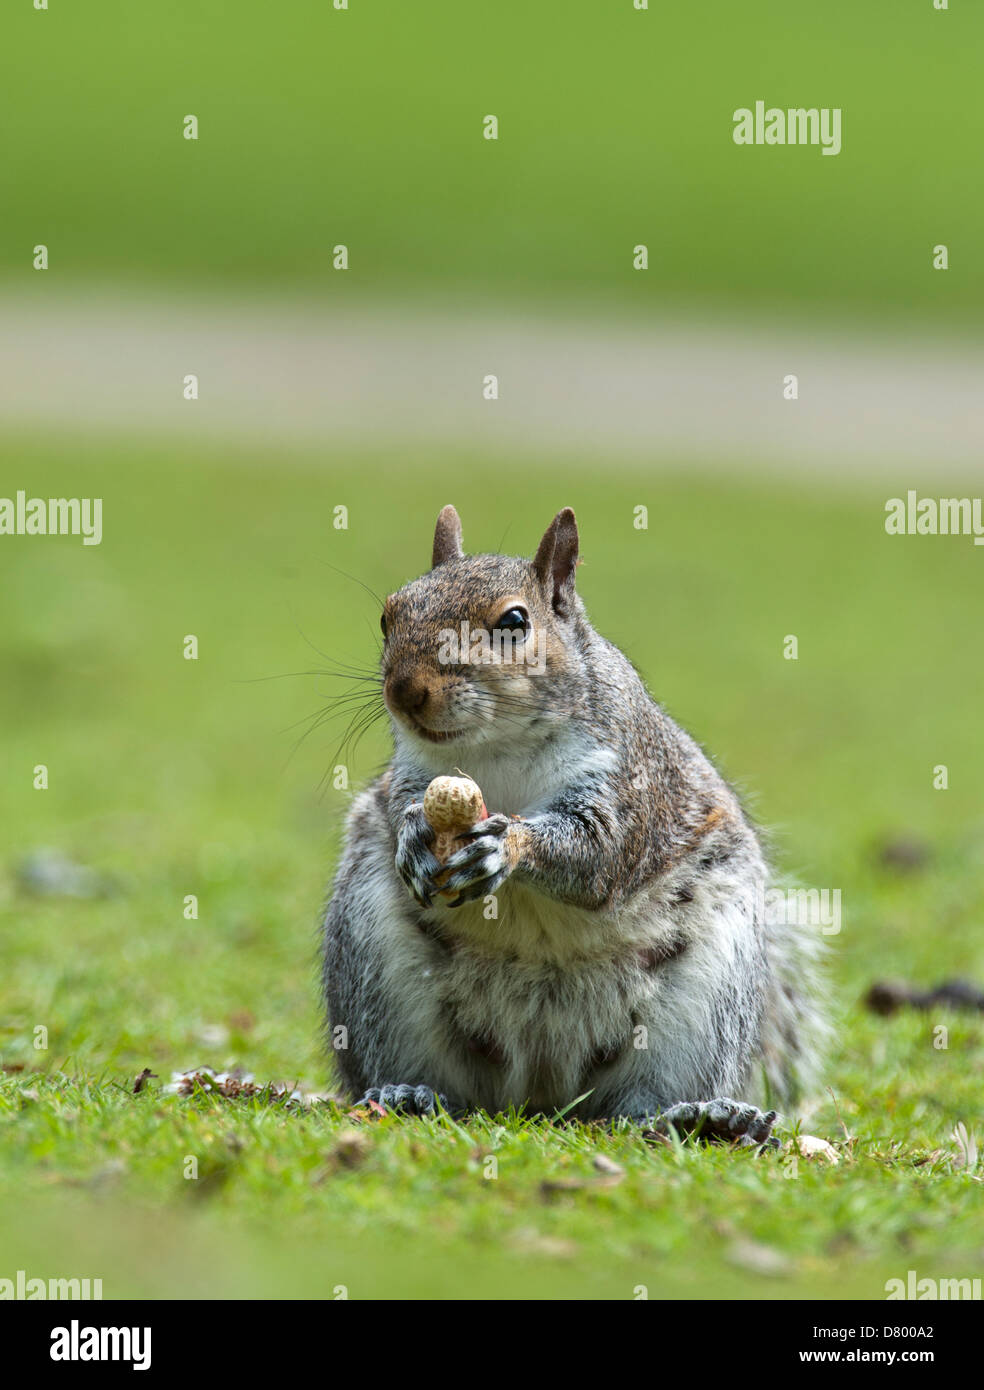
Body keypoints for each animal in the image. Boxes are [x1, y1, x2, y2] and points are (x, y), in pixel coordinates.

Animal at [321, 505, 822, 1145]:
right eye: (389, 614)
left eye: (514, 622)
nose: (406, 691)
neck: (499, 749)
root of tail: (544, 1093)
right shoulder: (414, 773)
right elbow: (402, 804)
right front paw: (412, 836)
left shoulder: (627, 781)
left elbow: (597, 854)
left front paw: (508, 845)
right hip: (372, 964)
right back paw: (406, 1093)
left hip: (707, 1000)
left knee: (644, 1101)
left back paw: (701, 1116)